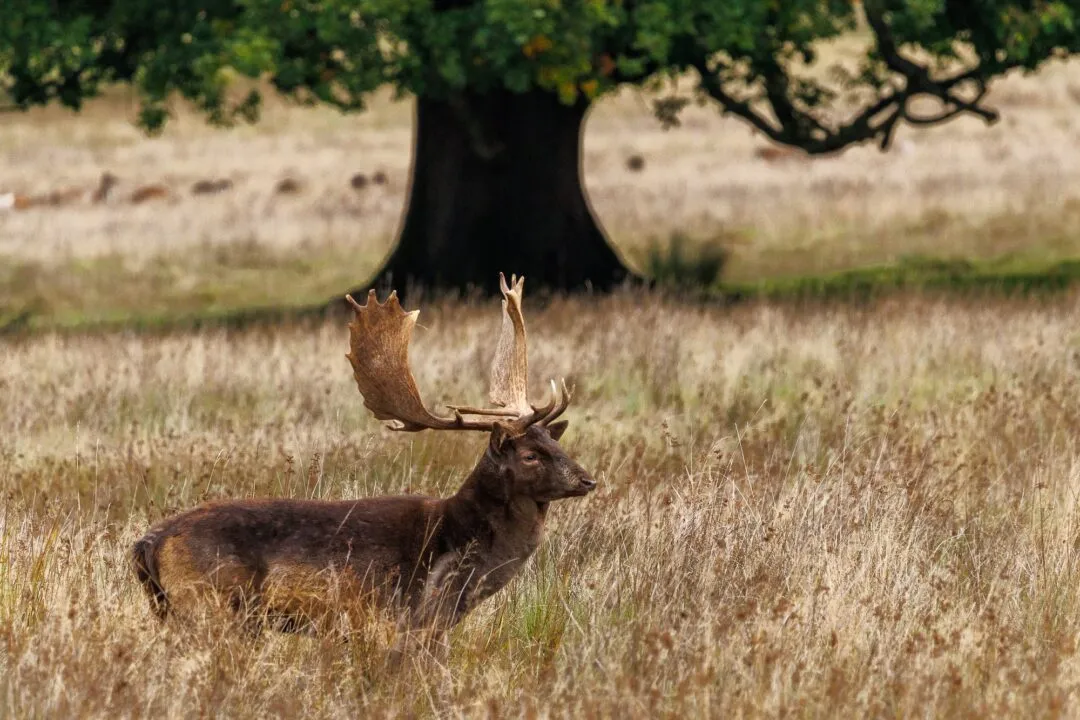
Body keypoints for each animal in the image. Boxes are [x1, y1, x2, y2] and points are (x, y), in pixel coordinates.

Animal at [130, 273, 596, 662]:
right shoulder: (403, 619)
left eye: (554, 441)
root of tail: (148, 544)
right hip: (210, 606)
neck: (461, 551)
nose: (587, 479)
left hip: (174, 609)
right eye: (530, 454)